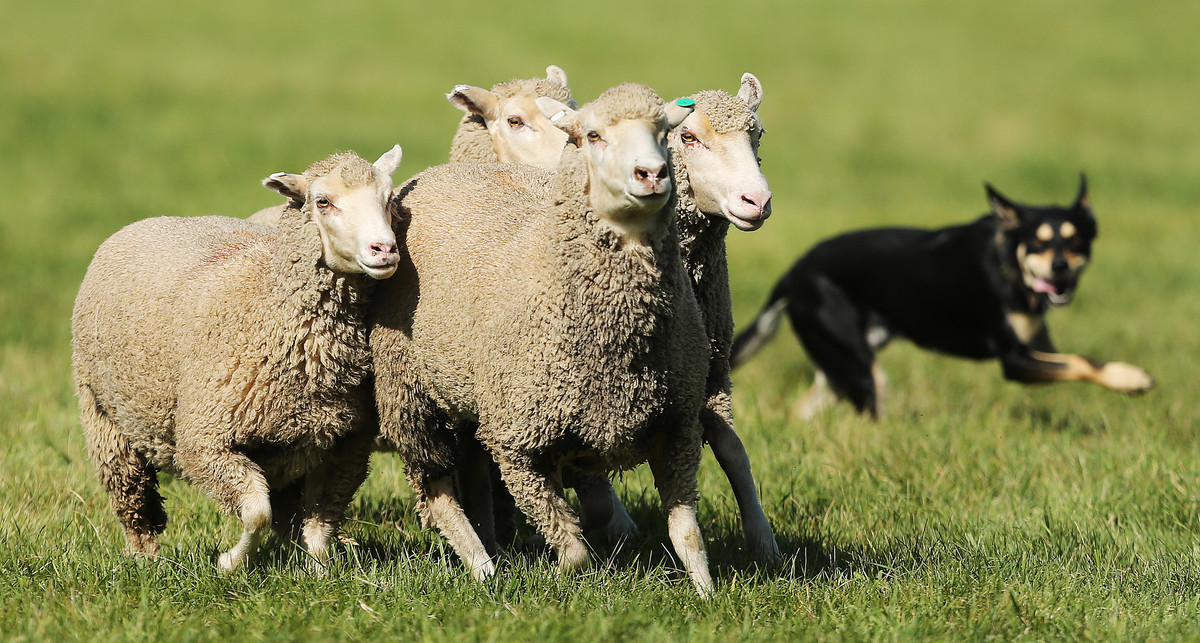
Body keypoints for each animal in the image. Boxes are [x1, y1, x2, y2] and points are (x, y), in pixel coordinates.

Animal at [73, 146, 403, 573]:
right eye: (322, 201)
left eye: (389, 198)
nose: (385, 249)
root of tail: (151, 220)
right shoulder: (205, 442)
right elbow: (257, 514)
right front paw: (231, 563)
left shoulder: (345, 447)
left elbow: (320, 525)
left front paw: (320, 572)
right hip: (105, 420)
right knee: (134, 503)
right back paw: (147, 562)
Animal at [369, 82, 715, 595]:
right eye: (592, 135)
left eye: (663, 132)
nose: (651, 174)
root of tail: (435, 174)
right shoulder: (518, 440)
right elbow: (572, 547)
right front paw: (561, 573)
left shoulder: (678, 426)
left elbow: (684, 528)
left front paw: (707, 592)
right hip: (410, 394)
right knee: (438, 491)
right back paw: (482, 565)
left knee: (473, 469)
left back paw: (492, 544)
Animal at [729, 176, 1152, 417]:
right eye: (1038, 242)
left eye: (1076, 241)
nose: (1060, 268)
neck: (1007, 262)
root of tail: (792, 273)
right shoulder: (1014, 361)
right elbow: (1080, 362)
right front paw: (1132, 378)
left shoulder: (1037, 345)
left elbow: (1083, 360)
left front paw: (1123, 377)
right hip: (859, 367)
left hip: (841, 361)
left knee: (805, 406)